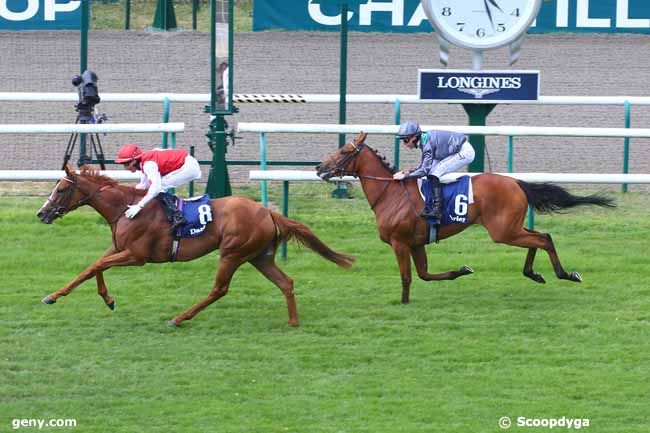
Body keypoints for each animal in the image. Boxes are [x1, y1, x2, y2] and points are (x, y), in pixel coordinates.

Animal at [37, 164, 352, 326]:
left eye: (61, 189)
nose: (42, 214)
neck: (124, 208)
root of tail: (267, 211)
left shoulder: (137, 255)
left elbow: (96, 265)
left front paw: (64, 296)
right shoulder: (119, 249)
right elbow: (93, 267)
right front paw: (91, 298)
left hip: (233, 253)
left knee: (219, 289)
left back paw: (179, 318)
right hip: (259, 256)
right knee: (286, 282)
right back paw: (293, 322)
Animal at [316, 132, 616, 304]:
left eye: (344, 151)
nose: (319, 167)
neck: (390, 193)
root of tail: (517, 182)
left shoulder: (400, 242)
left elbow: (407, 277)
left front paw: (403, 303)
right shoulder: (416, 243)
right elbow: (424, 274)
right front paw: (462, 270)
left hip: (502, 231)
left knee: (543, 238)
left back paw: (565, 274)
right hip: (511, 227)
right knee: (539, 237)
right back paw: (534, 273)